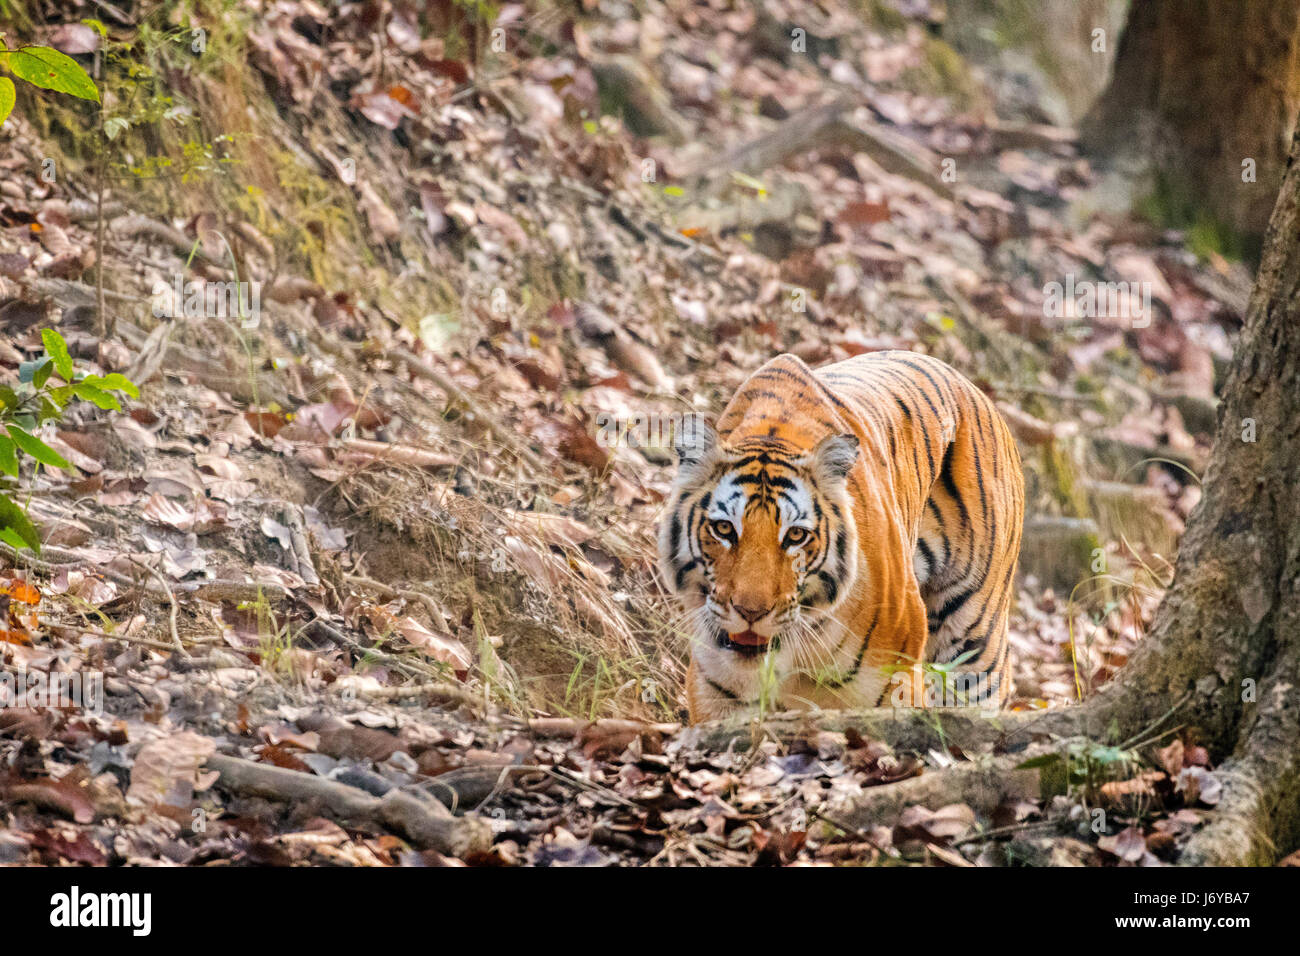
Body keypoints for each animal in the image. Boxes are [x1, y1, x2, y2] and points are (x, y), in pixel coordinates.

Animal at [660, 353, 1024, 723]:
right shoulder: (717, 690)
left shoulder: (894, 684)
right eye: (723, 529)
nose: (750, 612)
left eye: (796, 535)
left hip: (976, 640)